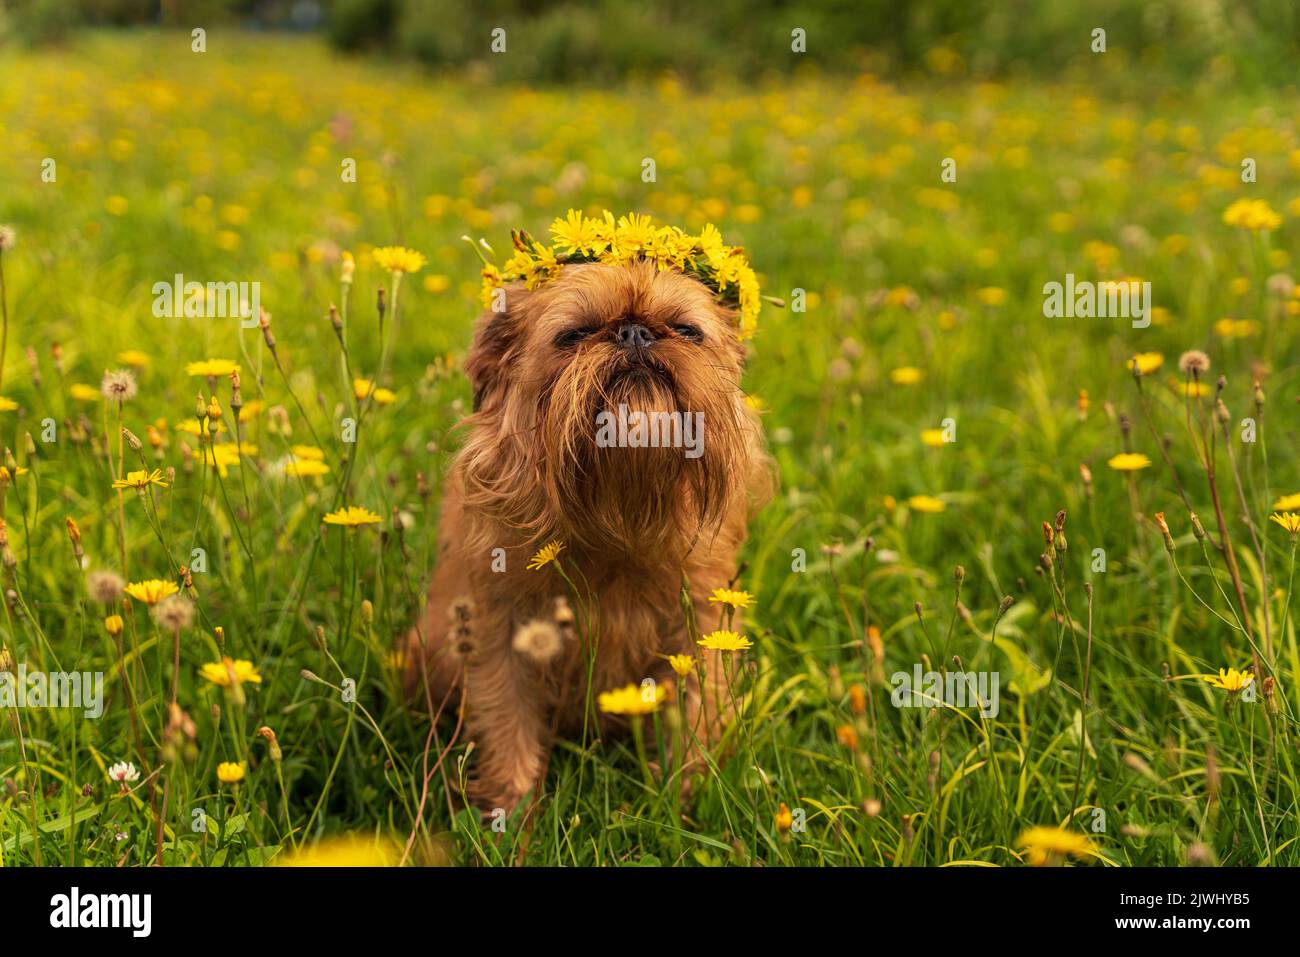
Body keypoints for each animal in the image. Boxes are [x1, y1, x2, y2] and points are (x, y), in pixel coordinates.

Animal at [405, 256, 769, 816]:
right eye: (574, 335)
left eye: (688, 331)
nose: (635, 332)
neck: (615, 514)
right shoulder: (500, 632)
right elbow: (507, 723)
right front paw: (511, 817)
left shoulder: (700, 627)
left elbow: (696, 712)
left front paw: (684, 799)